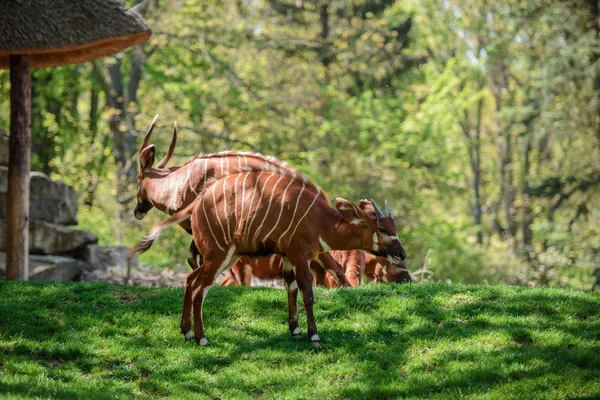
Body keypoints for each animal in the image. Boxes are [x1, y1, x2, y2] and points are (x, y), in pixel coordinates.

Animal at [129, 169, 406, 346]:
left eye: (394, 227)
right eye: (382, 229)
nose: (401, 253)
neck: (320, 220)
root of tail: (197, 203)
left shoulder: (287, 257)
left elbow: (291, 289)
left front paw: (295, 331)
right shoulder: (300, 255)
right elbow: (307, 293)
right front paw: (314, 337)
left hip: (225, 256)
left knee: (190, 279)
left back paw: (186, 332)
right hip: (219, 255)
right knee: (200, 286)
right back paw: (202, 338)